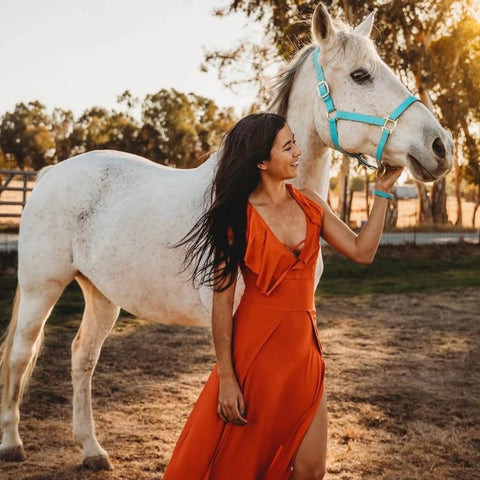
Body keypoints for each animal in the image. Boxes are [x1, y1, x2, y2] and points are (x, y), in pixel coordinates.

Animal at [0, 1, 452, 470]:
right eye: (361, 75)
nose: (441, 146)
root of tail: (52, 172)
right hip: (41, 288)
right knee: (20, 356)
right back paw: (13, 443)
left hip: (102, 295)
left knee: (82, 357)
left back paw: (92, 450)